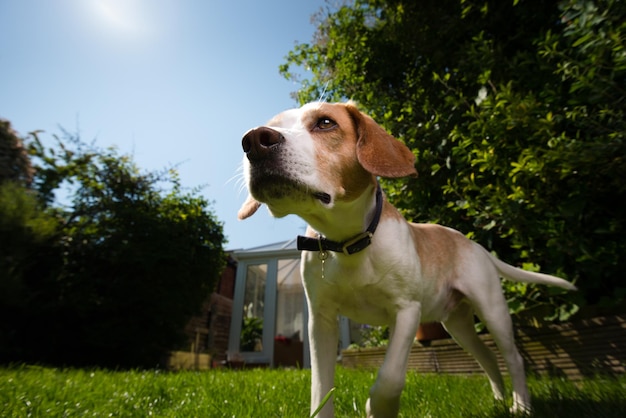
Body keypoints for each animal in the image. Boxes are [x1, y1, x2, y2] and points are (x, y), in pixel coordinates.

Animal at [238, 102, 576, 418]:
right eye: (273, 124)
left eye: (325, 122)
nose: (254, 140)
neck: (349, 242)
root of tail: (473, 244)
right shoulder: (321, 321)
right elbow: (321, 389)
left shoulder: (407, 310)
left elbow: (390, 378)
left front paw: (377, 407)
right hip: (458, 325)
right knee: (488, 358)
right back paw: (498, 401)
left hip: (492, 310)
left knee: (513, 358)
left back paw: (521, 406)